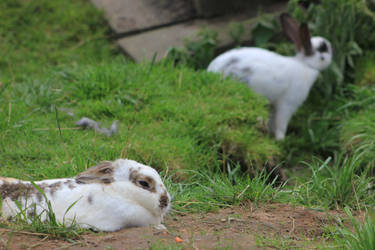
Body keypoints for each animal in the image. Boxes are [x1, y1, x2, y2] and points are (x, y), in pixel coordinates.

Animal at [207, 13, 334, 141]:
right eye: (323, 49)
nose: (332, 50)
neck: (305, 64)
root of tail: (212, 70)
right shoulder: (287, 103)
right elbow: (281, 123)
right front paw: (280, 139)